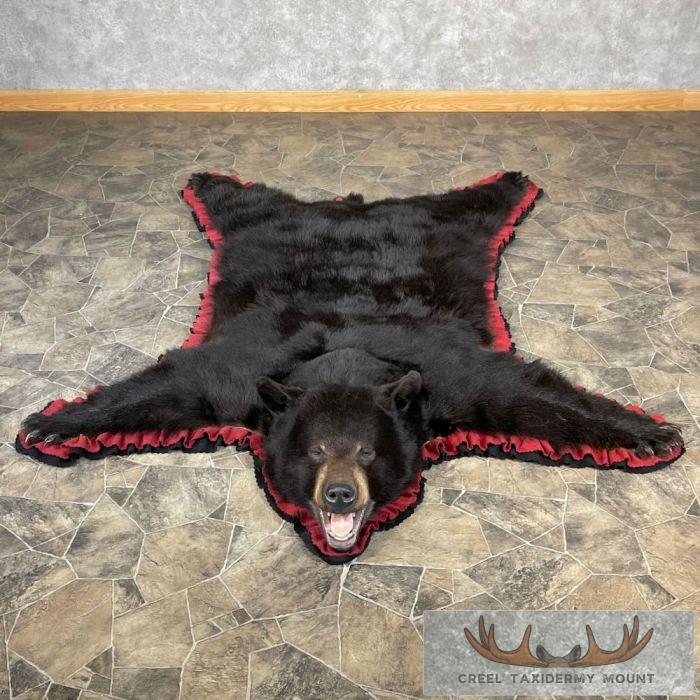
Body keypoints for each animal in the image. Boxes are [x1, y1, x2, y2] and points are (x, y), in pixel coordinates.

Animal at [22, 171, 683, 553]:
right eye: (314, 451)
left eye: (367, 451)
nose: (339, 494)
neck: (342, 360)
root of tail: (354, 209)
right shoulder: (244, 376)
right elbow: (176, 385)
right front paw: (52, 422)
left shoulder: (446, 378)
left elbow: (519, 392)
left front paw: (645, 432)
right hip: (259, 222)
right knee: (240, 197)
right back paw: (209, 179)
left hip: (454, 222)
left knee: (479, 199)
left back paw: (511, 180)